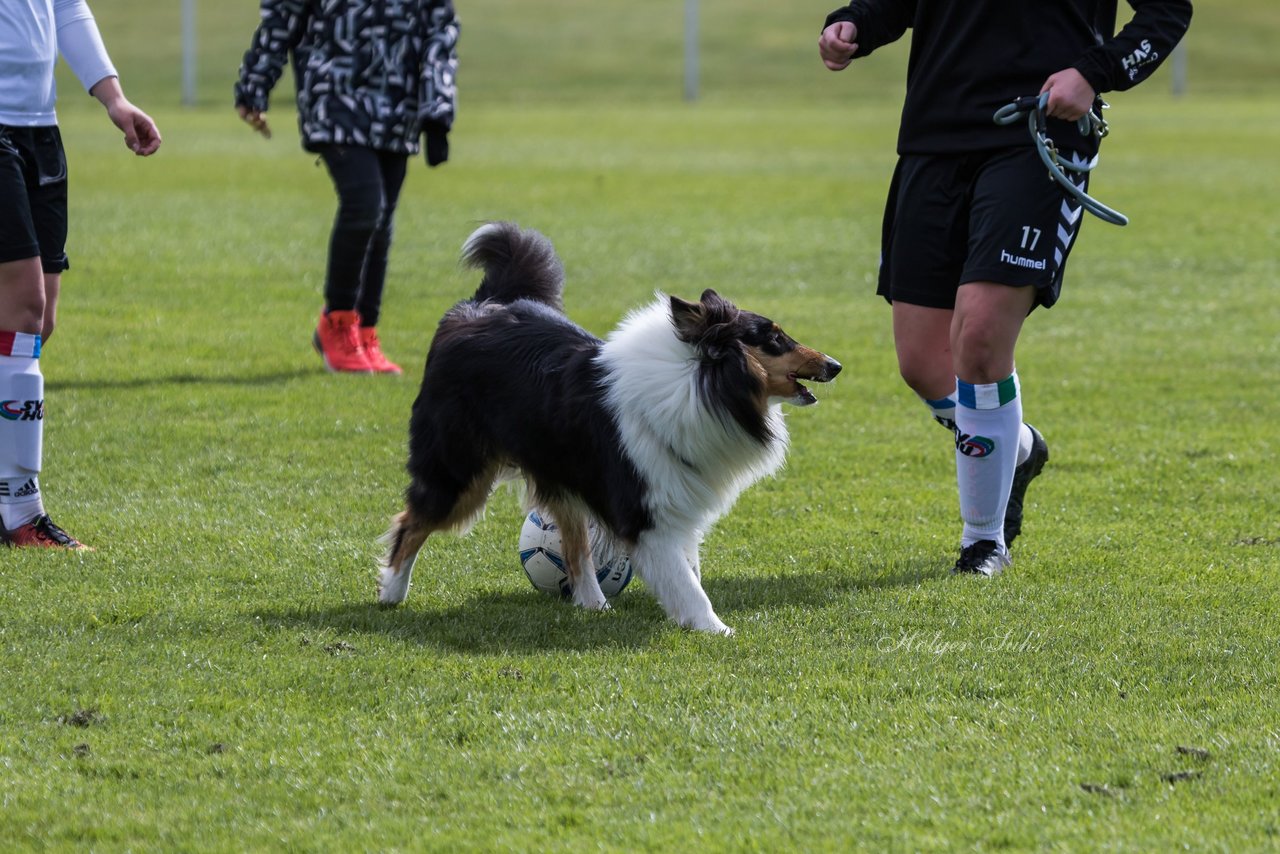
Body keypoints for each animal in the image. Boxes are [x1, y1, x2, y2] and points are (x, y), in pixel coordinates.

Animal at [376, 222, 839, 635]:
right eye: (774, 338)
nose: (835, 365)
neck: (696, 383)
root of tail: (475, 307)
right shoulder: (645, 510)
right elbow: (686, 582)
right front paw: (716, 629)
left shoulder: (677, 495)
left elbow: (687, 569)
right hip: (459, 473)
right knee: (409, 522)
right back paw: (391, 594)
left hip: (559, 471)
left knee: (574, 545)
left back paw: (593, 603)